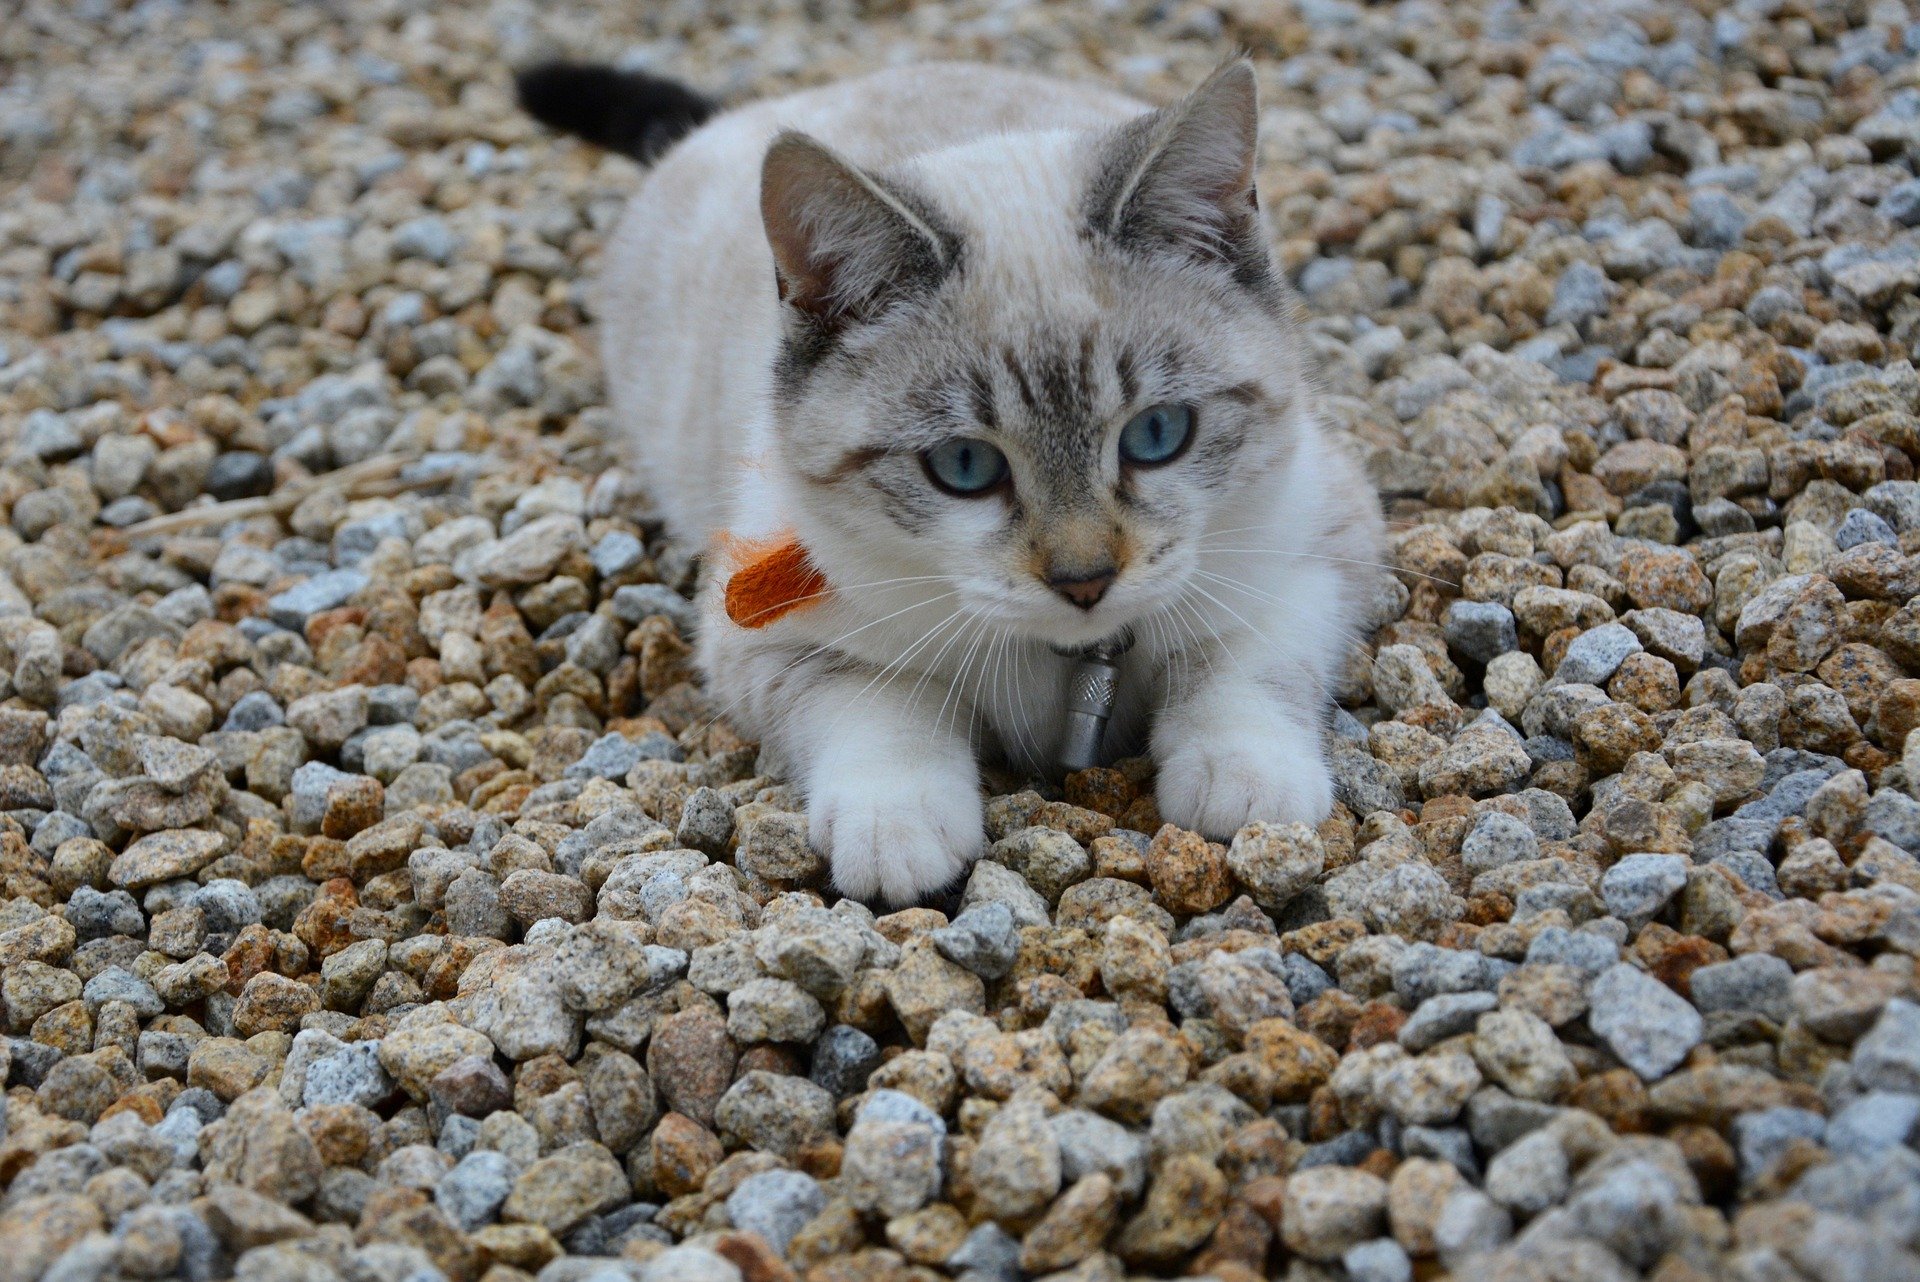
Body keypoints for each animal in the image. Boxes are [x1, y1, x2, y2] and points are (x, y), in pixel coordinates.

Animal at [518, 57, 1390, 902]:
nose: (1085, 582)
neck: (1069, 660)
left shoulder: (1319, 543)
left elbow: (1246, 663)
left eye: (1157, 435)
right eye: (965, 468)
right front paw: (898, 829)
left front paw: (1249, 788)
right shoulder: (766, 635)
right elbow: (883, 704)